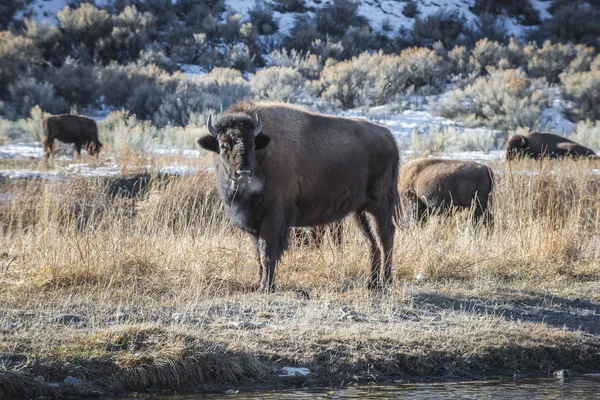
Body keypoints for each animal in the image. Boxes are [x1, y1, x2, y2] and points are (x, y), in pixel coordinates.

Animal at [198, 100, 404, 290]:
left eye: (253, 144)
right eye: (223, 145)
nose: (243, 173)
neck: (263, 155)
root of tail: (390, 138)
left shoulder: (272, 219)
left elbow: (267, 254)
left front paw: (267, 287)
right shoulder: (253, 225)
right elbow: (258, 255)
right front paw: (258, 284)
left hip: (380, 206)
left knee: (385, 236)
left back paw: (386, 280)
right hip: (360, 211)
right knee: (372, 242)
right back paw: (372, 282)